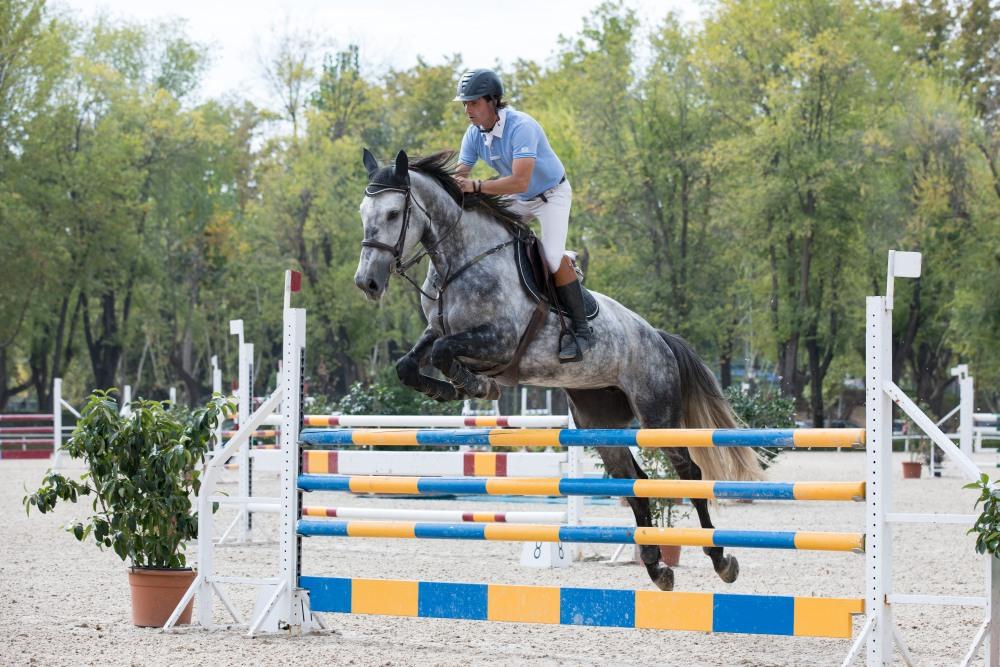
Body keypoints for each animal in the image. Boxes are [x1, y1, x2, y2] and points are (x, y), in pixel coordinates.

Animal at [356, 149, 760, 592]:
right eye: (363, 212)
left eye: (394, 213)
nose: (367, 283)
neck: (459, 261)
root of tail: (657, 336)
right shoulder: (436, 331)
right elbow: (408, 365)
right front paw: (447, 389)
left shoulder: (499, 340)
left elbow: (448, 353)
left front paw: (477, 386)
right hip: (597, 419)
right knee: (632, 479)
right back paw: (657, 567)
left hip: (658, 413)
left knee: (688, 471)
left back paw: (721, 559)